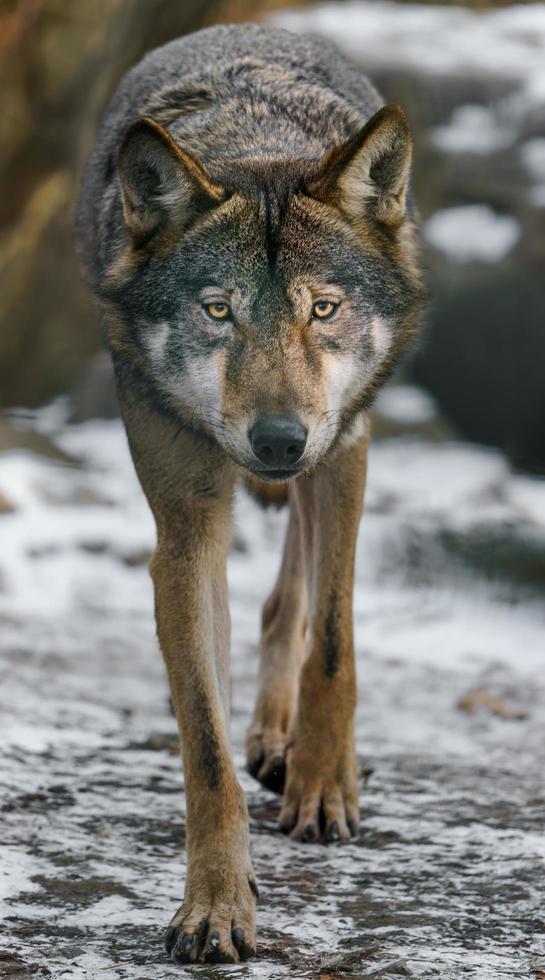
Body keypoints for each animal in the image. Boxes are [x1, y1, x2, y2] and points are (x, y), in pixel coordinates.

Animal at [76, 21, 424, 964]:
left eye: (323, 309)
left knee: (295, 601)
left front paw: (321, 784)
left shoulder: (339, 450)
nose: (275, 440)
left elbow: (332, 642)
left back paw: (291, 747)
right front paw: (216, 904)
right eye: (217, 310)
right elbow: (204, 744)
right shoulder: (187, 527)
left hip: (335, 452)